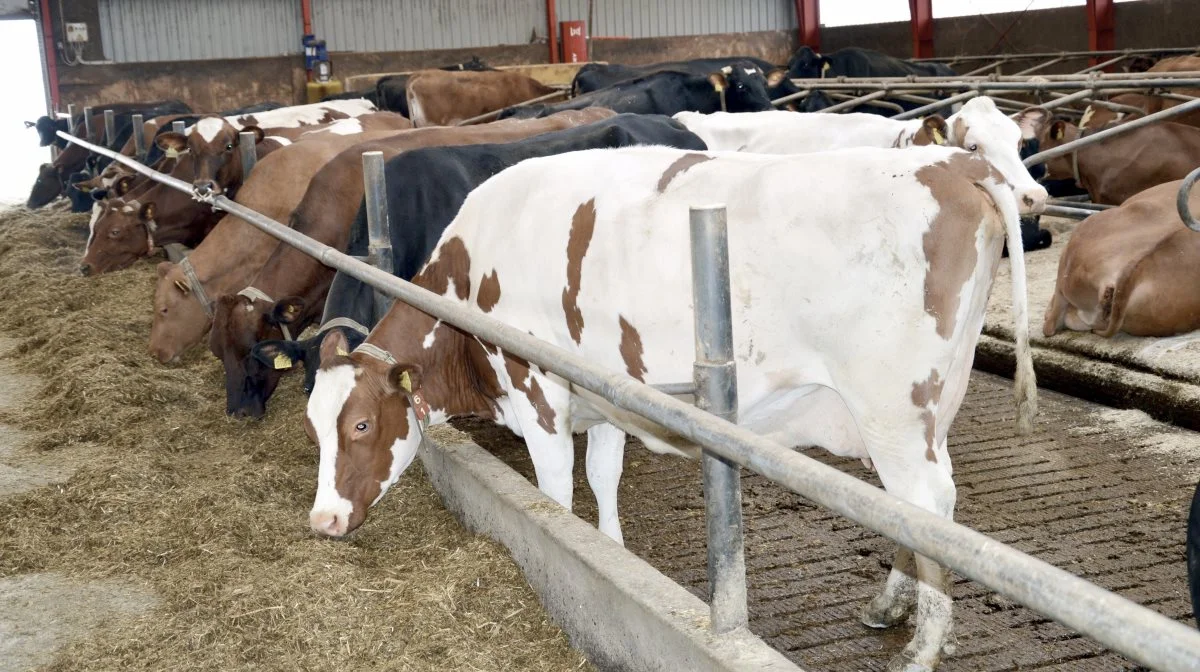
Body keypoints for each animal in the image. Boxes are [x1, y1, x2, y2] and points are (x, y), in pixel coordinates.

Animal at [304, 144, 1036, 667]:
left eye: (361, 423)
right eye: (314, 427)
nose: (323, 521)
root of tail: (957, 162)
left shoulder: (538, 391)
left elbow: (553, 495)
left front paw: (566, 554)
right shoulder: (605, 395)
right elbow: (602, 477)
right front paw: (611, 553)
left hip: (892, 408)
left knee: (928, 504)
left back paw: (923, 649)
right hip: (933, 403)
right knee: (919, 511)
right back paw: (890, 605)